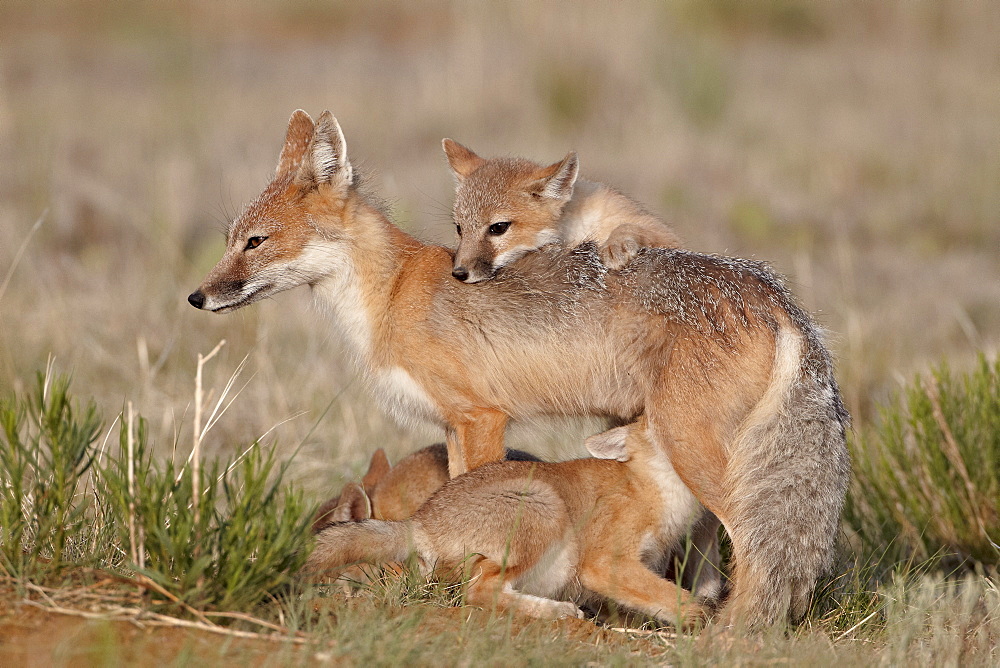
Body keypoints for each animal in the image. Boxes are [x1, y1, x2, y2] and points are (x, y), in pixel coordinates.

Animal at [304, 422, 712, 628]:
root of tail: (419, 520)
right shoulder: (603, 563)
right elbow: (687, 603)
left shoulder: (646, 564)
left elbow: (661, 601)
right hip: (545, 509)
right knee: (479, 591)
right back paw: (557, 612)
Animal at [444, 138, 684, 284]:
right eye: (459, 229)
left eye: (498, 228)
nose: (458, 273)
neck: (576, 230)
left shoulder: (669, 238)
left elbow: (629, 226)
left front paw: (616, 245)